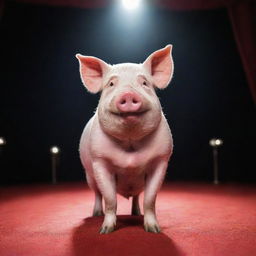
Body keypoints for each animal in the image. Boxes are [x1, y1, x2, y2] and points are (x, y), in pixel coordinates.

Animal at [76, 44, 174, 234]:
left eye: (144, 83)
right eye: (111, 84)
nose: (128, 94)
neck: (130, 146)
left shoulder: (161, 160)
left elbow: (150, 199)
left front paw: (154, 230)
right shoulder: (99, 161)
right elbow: (110, 198)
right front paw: (105, 231)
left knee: (136, 196)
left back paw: (136, 213)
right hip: (89, 175)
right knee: (97, 194)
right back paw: (95, 214)